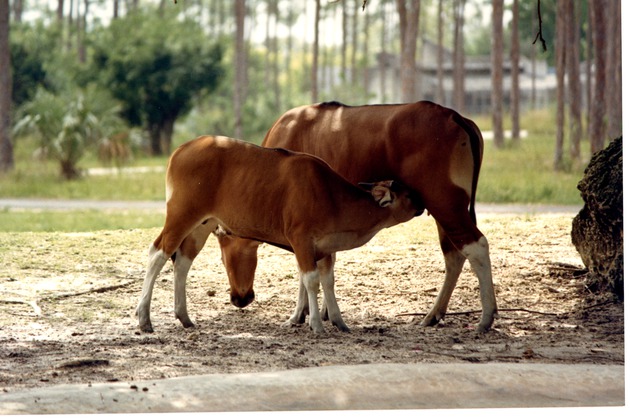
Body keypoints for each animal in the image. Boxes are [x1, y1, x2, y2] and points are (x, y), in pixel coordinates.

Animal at [222, 101, 498, 332]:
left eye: (224, 258)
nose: (240, 298)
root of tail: (453, 116)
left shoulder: (302, 225)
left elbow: (307, 269)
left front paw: (301, 315)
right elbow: (323, 265)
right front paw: (321, 314)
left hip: (445, 204)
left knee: (477, 246)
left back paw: (485, 318)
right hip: (445, 209)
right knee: (454, 255)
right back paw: (433, 315)